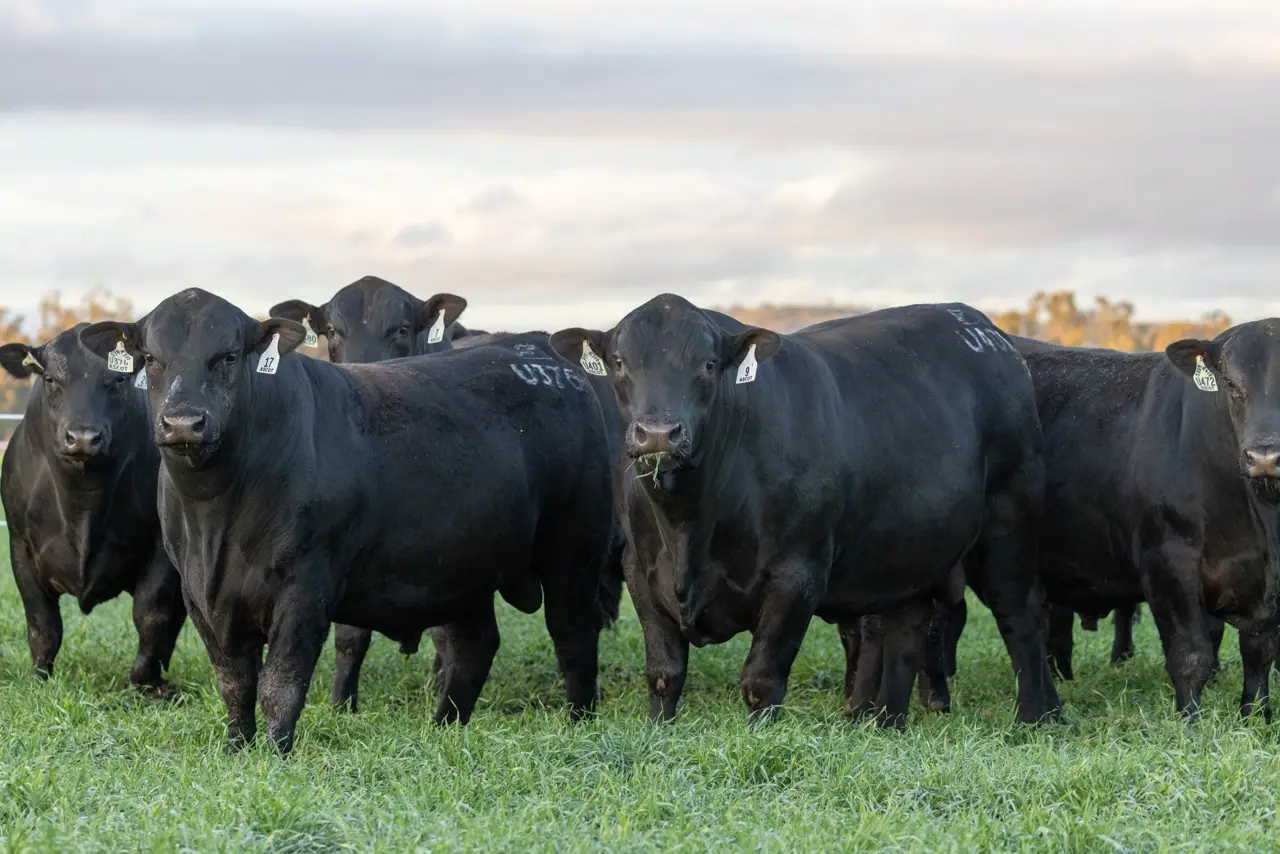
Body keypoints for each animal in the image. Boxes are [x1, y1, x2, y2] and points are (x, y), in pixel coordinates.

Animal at [0, 326, 185, 693]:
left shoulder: (162, 546)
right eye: (51, 379)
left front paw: (142, 683)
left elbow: (151, 614)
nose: (83, 437)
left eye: (118, 380)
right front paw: (39, 678)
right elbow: (42, 623)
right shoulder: (19, 546)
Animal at [80, 288, 617, 755]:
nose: (183, 423)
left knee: (572, 633)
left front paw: (275, 751)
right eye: (151, 358)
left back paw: (580, 720)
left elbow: (281, 682)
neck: (215, 518)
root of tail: (537, 354)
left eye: (229, 356)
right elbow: (234, 682)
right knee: (474, 644)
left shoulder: (303, 587)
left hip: (574, 546)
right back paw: (446, 725)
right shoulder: (199, 593)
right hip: (465, 565)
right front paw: (236, 746)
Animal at [550, 295, 1060, 727]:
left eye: (709, 365)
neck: (687, 524)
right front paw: (659, 730)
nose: (658, 433)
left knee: (1020, 614)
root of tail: (983, 329)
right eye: (620, 363)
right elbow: (663, 672)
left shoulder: (797, 573)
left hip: (1007, 521)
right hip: (907, 549)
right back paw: (882, 722)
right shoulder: (639, 569)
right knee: (906, 628)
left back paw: (1034, 717)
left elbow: (761, 679)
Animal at [938, 328, 1280, 720]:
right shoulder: (1167, 563)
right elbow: (1191, 654)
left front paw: (1256, 715)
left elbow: (1259, 653)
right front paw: (1189, 720)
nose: (1265, 456)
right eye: (1231, 384)